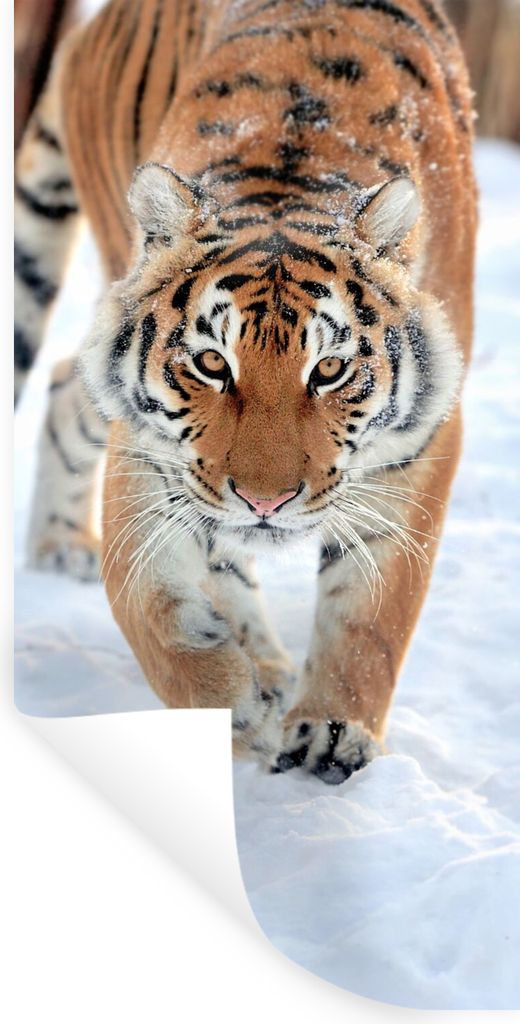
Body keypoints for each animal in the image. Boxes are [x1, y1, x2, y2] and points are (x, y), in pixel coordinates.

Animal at [14, 0, 477, 783]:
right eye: (211, 363)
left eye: (329, 370)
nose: (266, 502)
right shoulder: (150, 449)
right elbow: (150, 606)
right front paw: (230, 705)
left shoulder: (423, 441)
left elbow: (371, 615)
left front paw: (332, 731)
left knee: (60, 384)